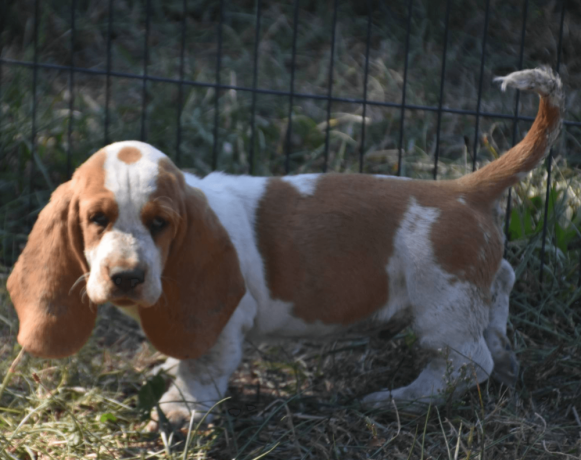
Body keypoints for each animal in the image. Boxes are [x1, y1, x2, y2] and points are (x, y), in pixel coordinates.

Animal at [6, 67, 560, 424]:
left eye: (160, 223)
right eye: (96, 220)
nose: (126, 277)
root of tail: (461, 189)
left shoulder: (225, 323)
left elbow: (203, 366)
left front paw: (180, 408)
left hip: (440, 306)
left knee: (465, 364)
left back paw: (398, 400)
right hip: (468, 291)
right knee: (501, 292)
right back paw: (505, 356)